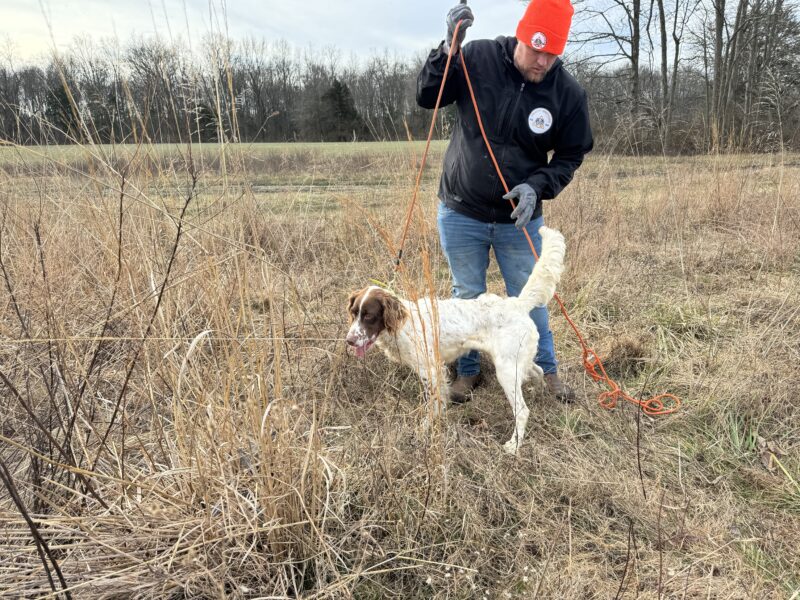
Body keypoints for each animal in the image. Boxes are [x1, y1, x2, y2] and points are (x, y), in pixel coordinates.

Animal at [346, 227, 564, 452]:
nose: (349, 340)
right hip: (518, 361)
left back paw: (514, 445)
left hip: (506, 369)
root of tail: (517, 304)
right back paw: (538, 393)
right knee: (538, 371)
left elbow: (432, 403)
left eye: (369, 316)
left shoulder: (430, 370)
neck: (403, 323)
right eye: (353, 313)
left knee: (522, 410)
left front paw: (424, 429)